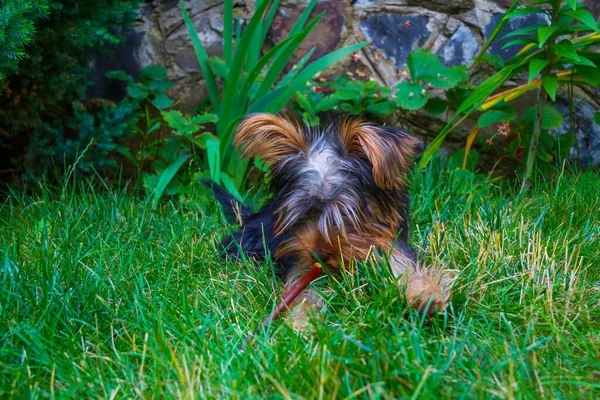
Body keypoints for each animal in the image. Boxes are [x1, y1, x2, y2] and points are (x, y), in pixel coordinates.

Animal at [213, 113, 452, 328]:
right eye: (304, 215)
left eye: (346, 214)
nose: (318, 255)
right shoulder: (300, 265)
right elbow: (303, 292)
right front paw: (302, 322)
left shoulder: (392, 248)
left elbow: (407, 269)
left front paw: (424, 295)